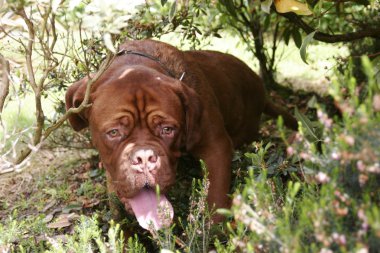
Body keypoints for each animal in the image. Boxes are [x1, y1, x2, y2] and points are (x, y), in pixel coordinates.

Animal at [65, 39, 296, 229]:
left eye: (168, 129)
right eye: (114, 132)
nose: (145, 158)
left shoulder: (216, 147)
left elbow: (216, 197)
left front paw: (212, 233)